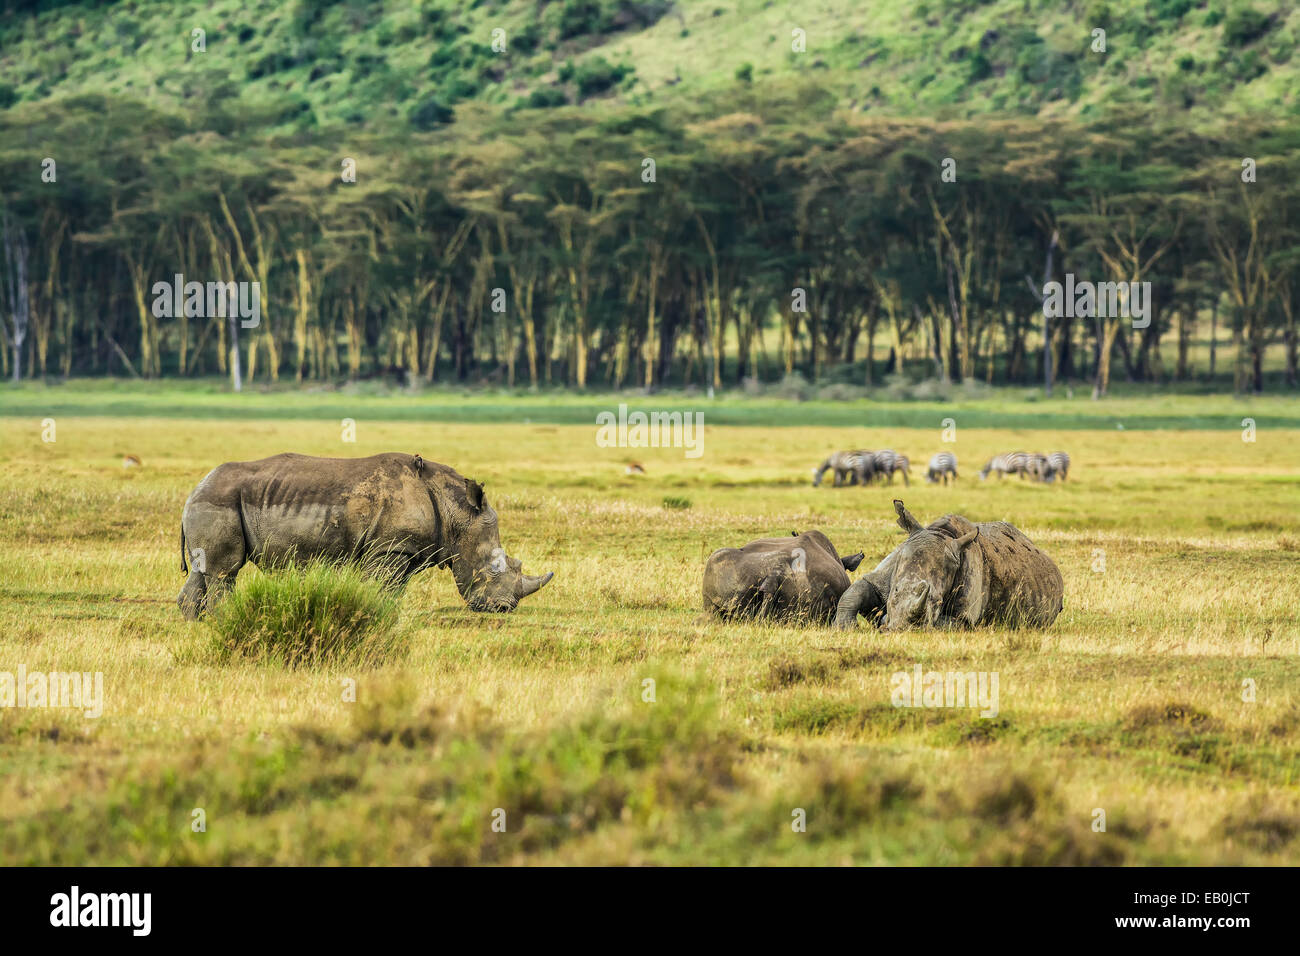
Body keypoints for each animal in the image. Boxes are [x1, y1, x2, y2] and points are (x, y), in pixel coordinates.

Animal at [176, 455, 548, 621]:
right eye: (494, 566)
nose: (504, 609)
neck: (455, 508)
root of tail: (194, 488)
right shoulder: (391, 547)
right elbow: (384, 588)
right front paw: (379, 616)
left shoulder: (402, 549)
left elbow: (393, 588)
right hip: (219, 499)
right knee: (225, 571)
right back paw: (222, 619)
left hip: (213, 499)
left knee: (203, 570)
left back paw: (195, 623)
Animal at [832, 496, 1066, 632]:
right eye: (895, 591)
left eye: (936, 601)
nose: (900, 629)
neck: (941, 535)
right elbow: (857, 591)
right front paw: (845, 628)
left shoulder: (966, 616)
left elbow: (949, 623)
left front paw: (884, 621)